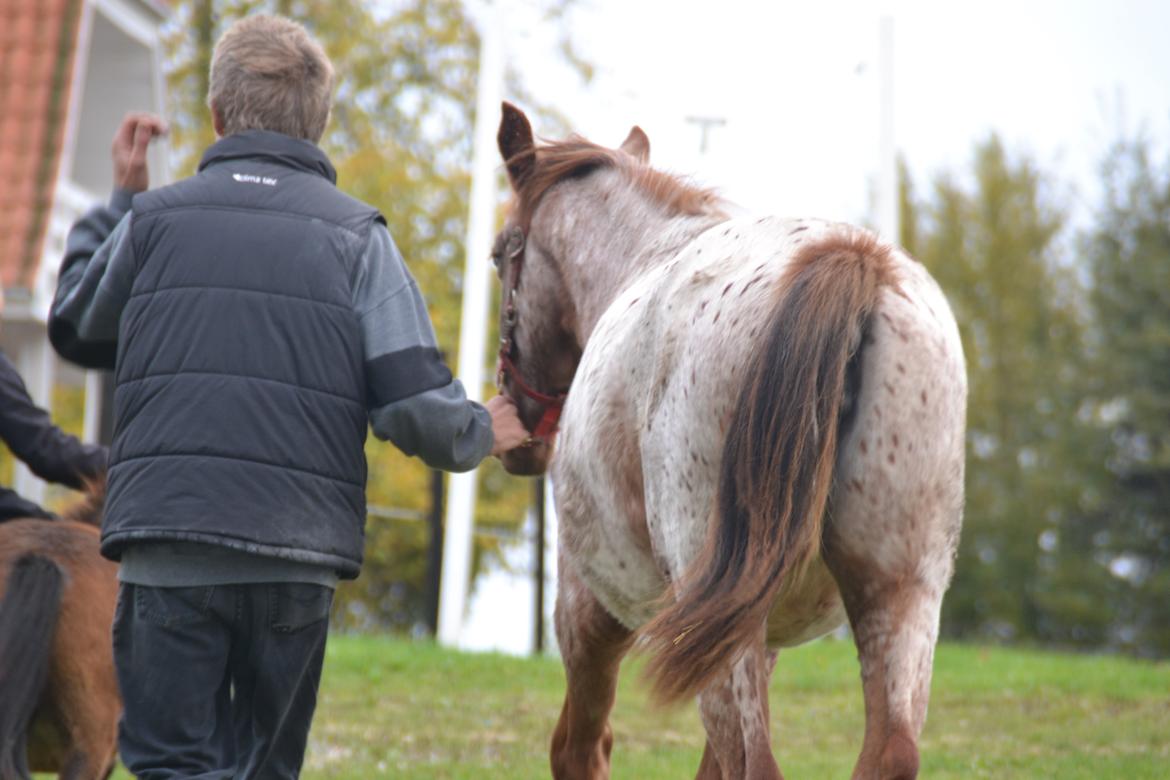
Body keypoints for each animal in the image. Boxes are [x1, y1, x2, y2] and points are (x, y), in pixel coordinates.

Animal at [489, 100, 964, 776]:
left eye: (499, 255)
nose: (516, 424)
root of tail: (850, 259)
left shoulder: (588, 611)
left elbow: (580, 747)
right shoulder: (749, 633)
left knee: (757, 762)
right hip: (898, 595)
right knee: (889, 751)